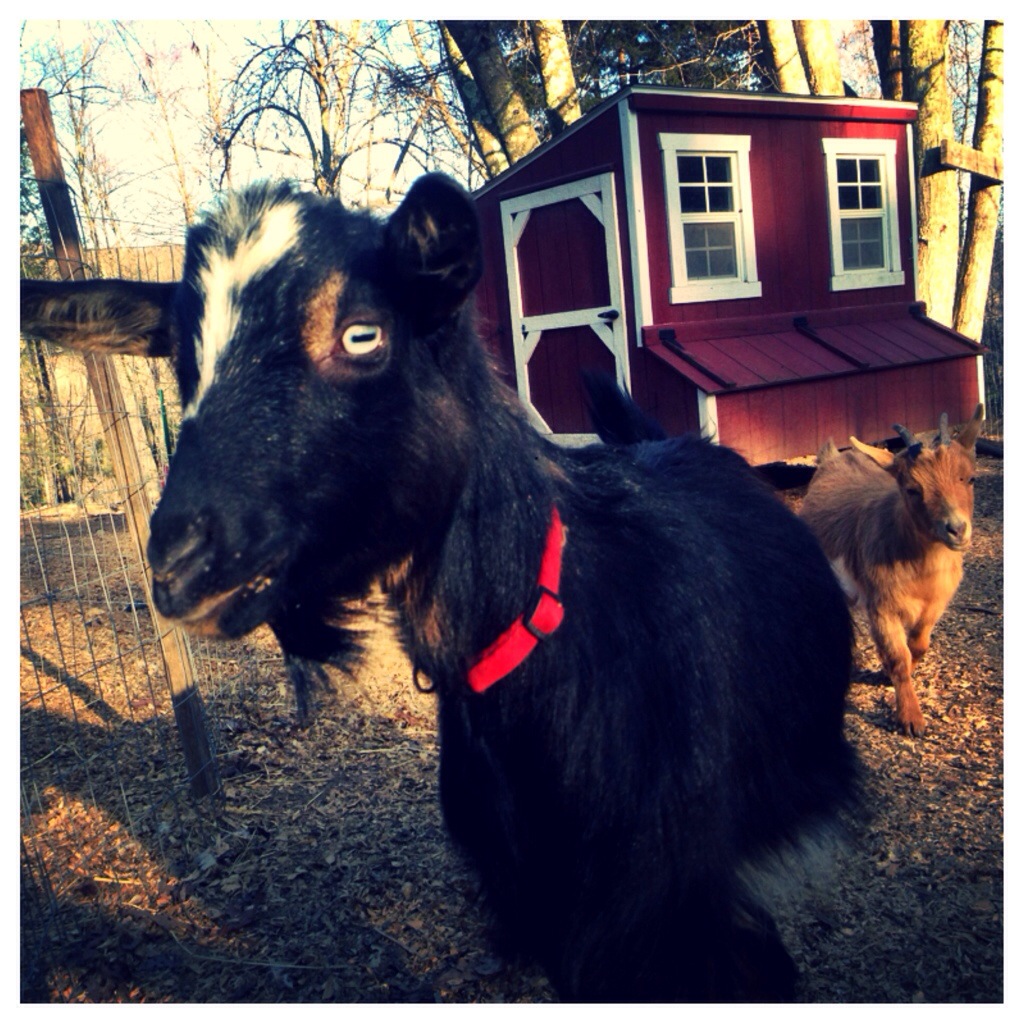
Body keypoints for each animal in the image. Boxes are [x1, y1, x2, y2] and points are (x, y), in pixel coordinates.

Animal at [798, 403, 983, 733]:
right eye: (912, 489)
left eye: (970, 479)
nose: (957, 529)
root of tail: (833, 456)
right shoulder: (881, 606)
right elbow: (898, 655)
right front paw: (911, 718)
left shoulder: (935, 603)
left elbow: (918, 645)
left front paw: (890, 674)